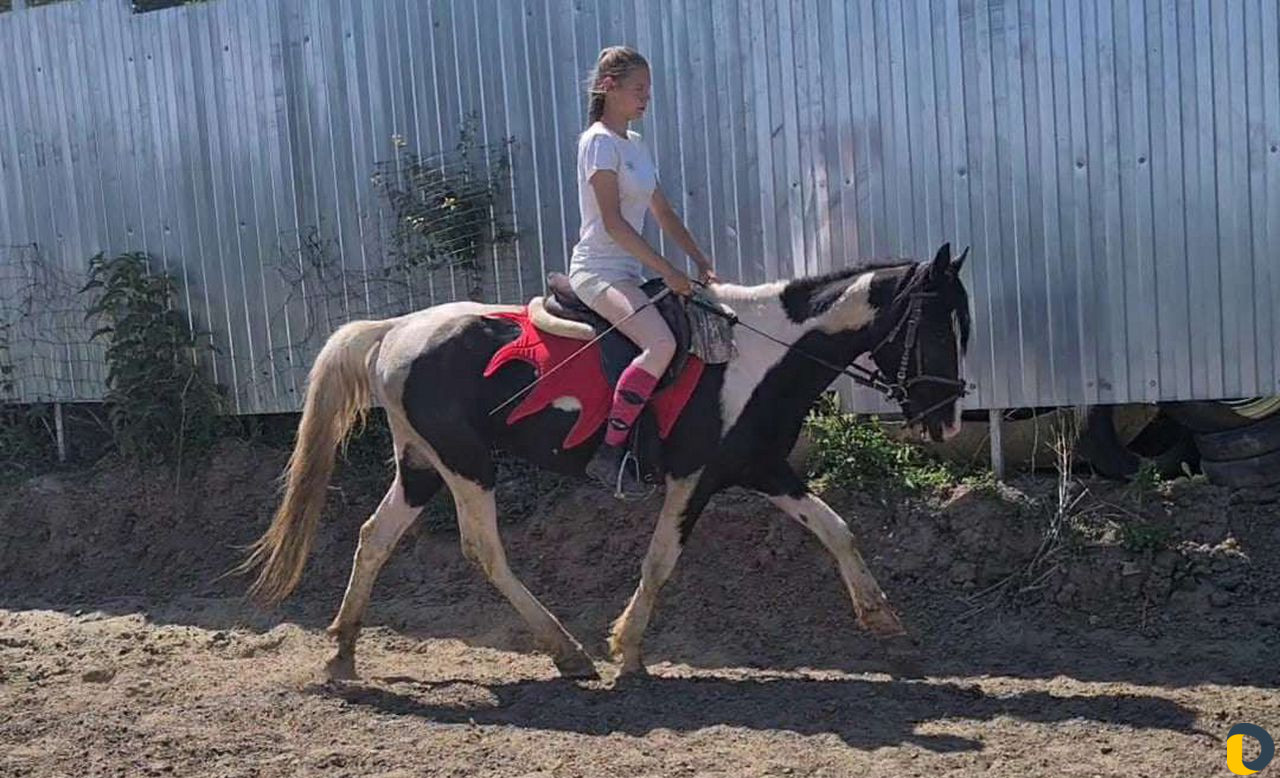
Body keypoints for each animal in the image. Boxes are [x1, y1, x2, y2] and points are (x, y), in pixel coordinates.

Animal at [237, 242, 972, 681]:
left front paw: (884, 619)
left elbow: (836, 529)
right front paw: (628, 647)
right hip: (466, 463)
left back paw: (343, 650)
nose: (948, 419)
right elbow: (660, 560)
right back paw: (567, 651)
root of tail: (396, 330)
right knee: (482, 549)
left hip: (421, 466)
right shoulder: (694, 479)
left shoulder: (763, 468)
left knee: (374, 537)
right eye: (938, 326)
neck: (760, 356)